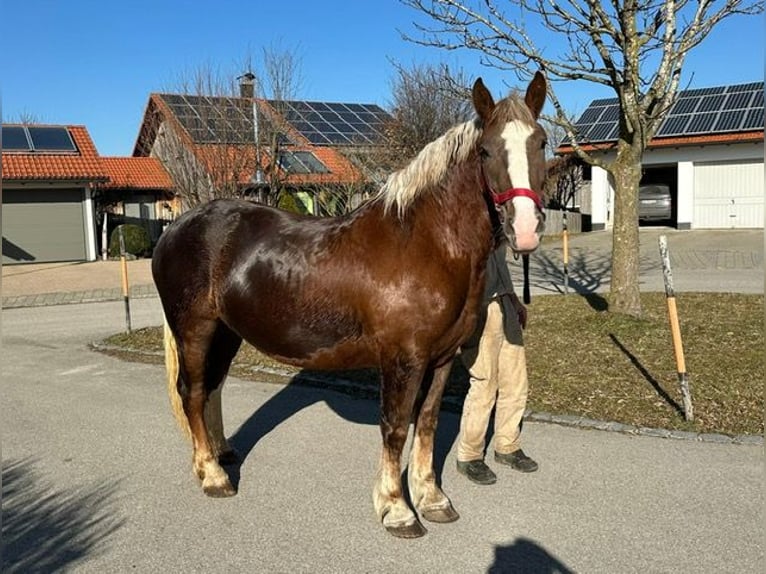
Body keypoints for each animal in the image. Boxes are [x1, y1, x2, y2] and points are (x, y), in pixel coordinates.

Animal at [152, 73, 544, 540]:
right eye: (485, 150)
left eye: (541, 143)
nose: (525, 228)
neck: (425, 243)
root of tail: (176, 226)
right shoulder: (403, 359)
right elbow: (396, 427)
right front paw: (397, 509)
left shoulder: (442, 358)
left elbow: (428, 423)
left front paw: (433, 500)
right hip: (195, 328)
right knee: (192, 391)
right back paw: (212, 475)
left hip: (227, 332)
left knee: (211, 388)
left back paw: (221, 454)